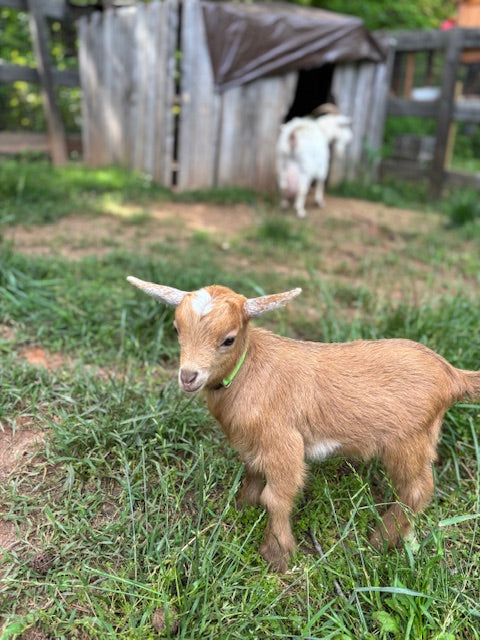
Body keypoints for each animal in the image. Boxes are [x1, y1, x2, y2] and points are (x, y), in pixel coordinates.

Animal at [127, 277, 480, 572]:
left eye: (228, 339)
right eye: (176, 329)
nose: (188, 377)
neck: (248, 370)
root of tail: (452, 376)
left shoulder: (283, 442)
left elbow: (276, 496)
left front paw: (276, 555)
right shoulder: (251, 441)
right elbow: (252, 475)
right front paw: (242, 508)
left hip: (409, 441)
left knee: (418, 490)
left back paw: (378, 541)